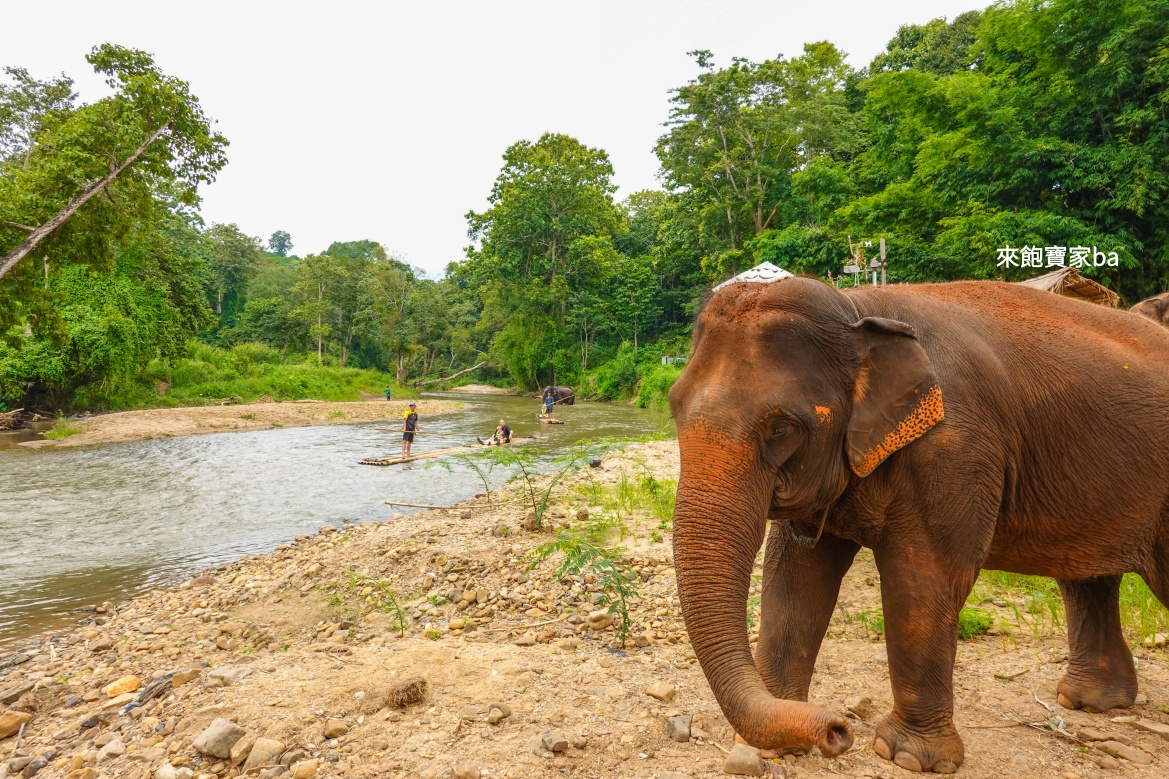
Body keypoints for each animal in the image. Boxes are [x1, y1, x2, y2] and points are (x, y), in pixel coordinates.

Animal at [667, 276, 1169, 773]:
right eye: (673, 407)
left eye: (780, 429)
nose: (837, 730)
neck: (858, 309)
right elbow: (794, 577)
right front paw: (768, 743)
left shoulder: (955, 449)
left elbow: (924, 579)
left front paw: (908, 757)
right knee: (1088, 578)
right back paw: (1089, 702)